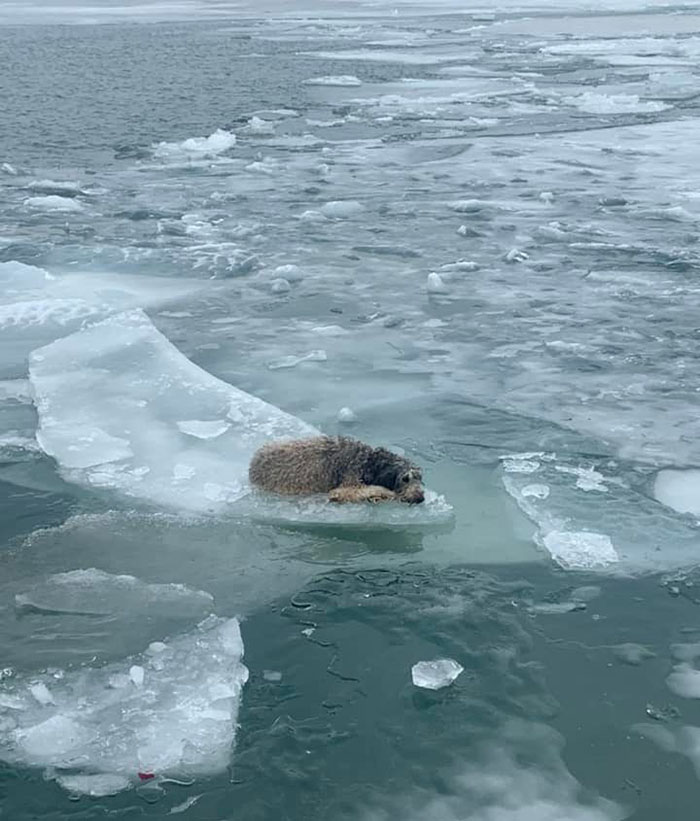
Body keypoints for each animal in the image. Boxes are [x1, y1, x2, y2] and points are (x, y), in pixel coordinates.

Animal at [252, 432, 426, 502]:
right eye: (405, 479)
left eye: (420, 478)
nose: (420, 498)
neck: (370, 463)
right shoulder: (348, 483)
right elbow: (348, 492)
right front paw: (384, 494)